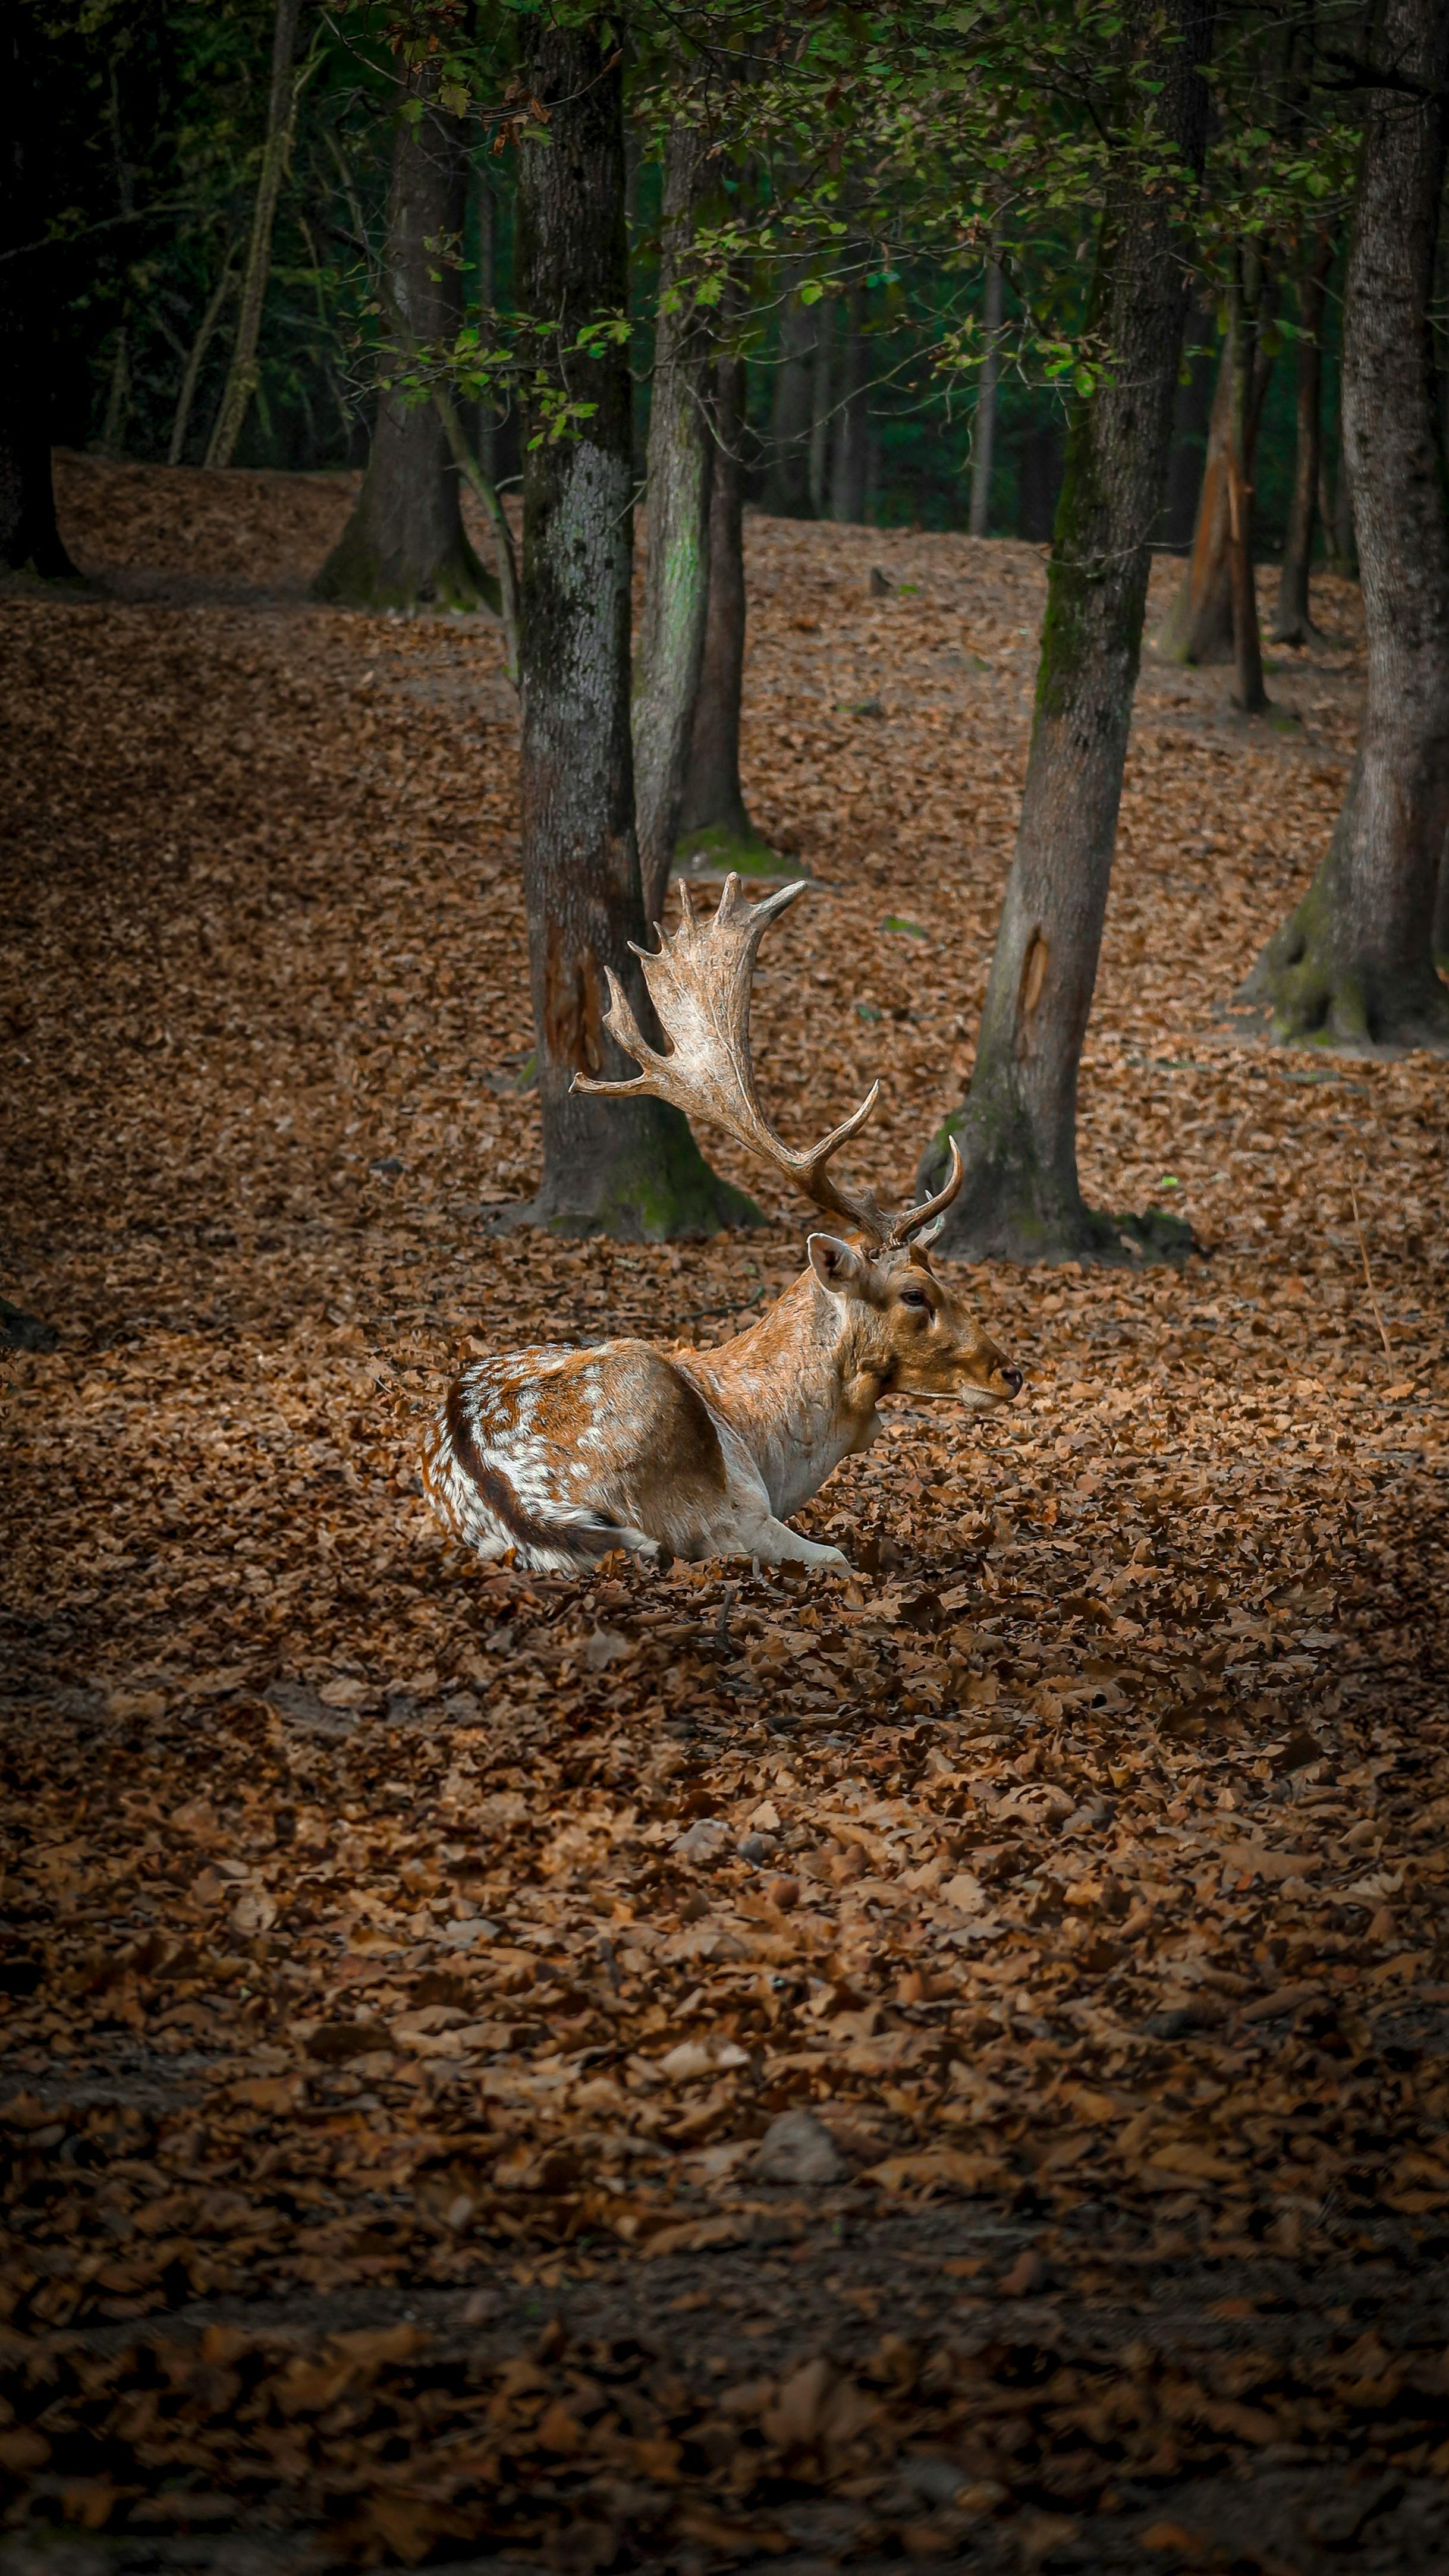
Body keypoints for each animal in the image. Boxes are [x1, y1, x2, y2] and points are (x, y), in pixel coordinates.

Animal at [420, 876, 1016, 1576]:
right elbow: (835, 1553)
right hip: (681, 1467)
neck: (770, 1440)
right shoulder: (744, 1511)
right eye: (915, 1295)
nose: (1009, 1372)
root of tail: (511, 1495)